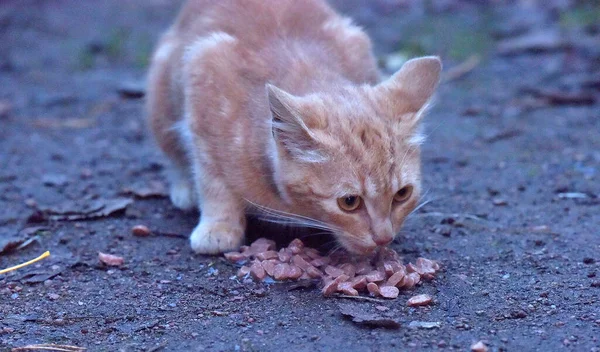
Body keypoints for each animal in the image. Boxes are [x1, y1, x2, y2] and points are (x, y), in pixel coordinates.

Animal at [148, 0, 442, 254]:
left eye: (402, 194)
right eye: (349, 202)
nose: (384, 238)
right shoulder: (203, 73)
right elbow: (211, 177)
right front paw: (219, 226)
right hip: (161, 97)